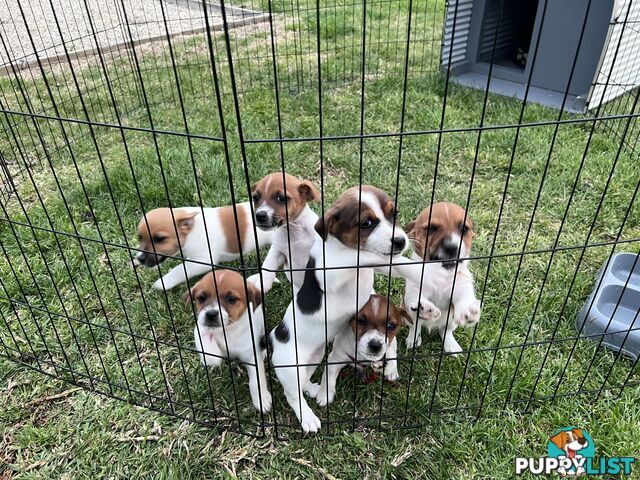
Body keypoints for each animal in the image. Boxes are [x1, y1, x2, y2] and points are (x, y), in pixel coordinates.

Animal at [134, 202, 274, 288]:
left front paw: (164, 282)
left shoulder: (204, 260)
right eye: (139, 237)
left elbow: (180, 269)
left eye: (160, 239)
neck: (190, 230)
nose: (140, 259)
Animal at [184, 270, 272, 412]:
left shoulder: (251, 356)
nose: (211, 314)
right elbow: (209, 348)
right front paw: (213, 356)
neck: (228, 330)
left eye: (231, 299)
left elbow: (257, 380)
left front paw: (262, 398)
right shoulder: (199, 329)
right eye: (201, 298)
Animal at [270, 185, 430, 432]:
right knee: (292, 394)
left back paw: (313, 388)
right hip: (289, 366)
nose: (401, 241)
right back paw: (308, 418)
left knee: (303, 380)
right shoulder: (330, 273)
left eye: (394, 214)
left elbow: (392, 263)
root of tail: (273, 338)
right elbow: (363, 255)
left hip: (314, 356)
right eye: (366, 223)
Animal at [404, 201, 480, 354]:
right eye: (431, 228)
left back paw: (451, 345)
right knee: (415, 326)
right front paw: (424, 307)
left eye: (464, 228)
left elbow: (464, 299)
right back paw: (413, 340)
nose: (452, 247)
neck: (441, 274)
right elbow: (416, 297)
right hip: (408, 315)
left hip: (451, 321)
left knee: (445, 330)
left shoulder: (462, 286)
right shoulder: (413, 289)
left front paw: (468, 311)